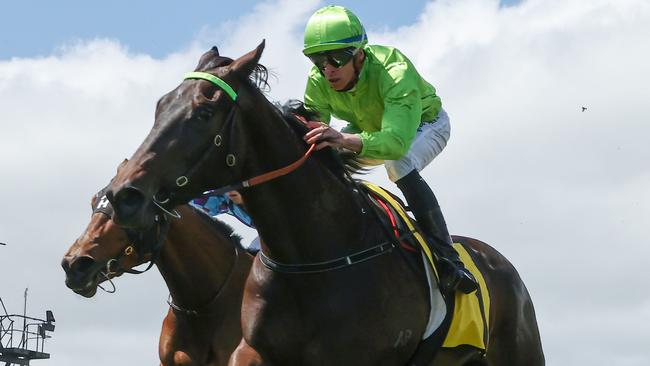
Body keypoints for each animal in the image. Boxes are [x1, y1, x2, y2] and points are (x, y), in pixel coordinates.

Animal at [105, 43, 540, 366]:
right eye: (161, 105)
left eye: (204, 111)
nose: (123, 194)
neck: (313, 255)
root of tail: (498, 260)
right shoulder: (252, 350)